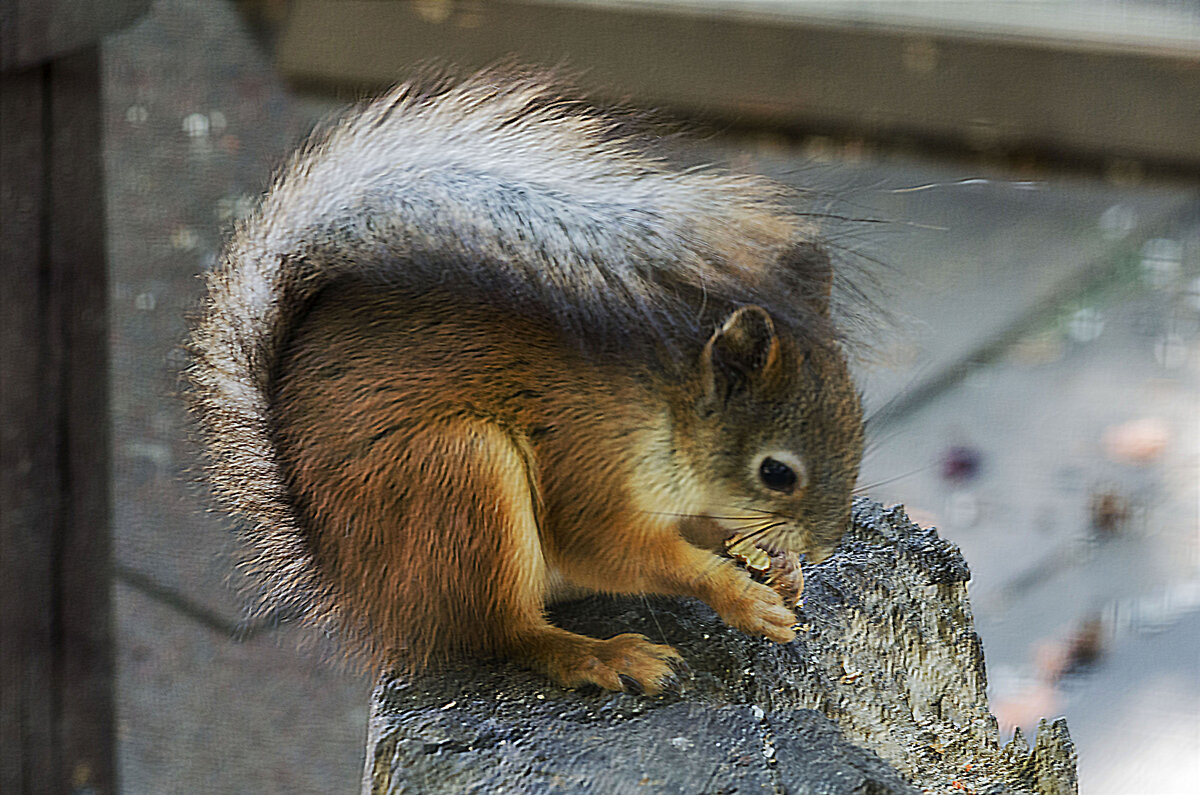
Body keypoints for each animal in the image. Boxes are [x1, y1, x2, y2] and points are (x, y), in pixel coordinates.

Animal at [187, 69, 864, 696]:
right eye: (776, 473)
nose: (824, 548)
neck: (668, 411)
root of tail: (354, 584)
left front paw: (781, 567)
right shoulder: (588, 458)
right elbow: (611, 550)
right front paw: (741, 596)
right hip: (461, 473)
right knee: (502, 632)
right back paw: (600, 655)